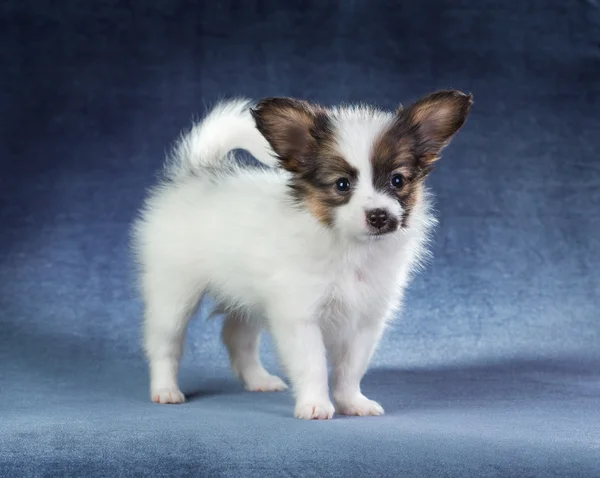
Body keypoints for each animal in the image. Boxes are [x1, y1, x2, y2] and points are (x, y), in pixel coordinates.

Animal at [131, 89, 474, 418]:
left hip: (249, 296)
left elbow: (352, 368)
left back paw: (259, 380)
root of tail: (198, 173)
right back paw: (165, 390)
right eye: (341, 184)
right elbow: (313, 366)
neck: (349, 248)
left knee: (236, 336)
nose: (378, 215)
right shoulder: (300, 317)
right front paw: (315, 405)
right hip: (174, 292)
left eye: (397, 180)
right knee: (165, 342)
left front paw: (352, 402)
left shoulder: (366, 320)